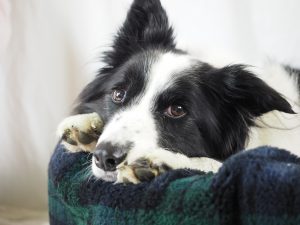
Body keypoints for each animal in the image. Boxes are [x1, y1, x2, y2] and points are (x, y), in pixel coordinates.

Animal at [56, 0, 300, 184]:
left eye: (177, 110)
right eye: (118, 94)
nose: (105, 157)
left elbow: (217, 165)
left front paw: (161, 163)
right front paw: (85, 126)